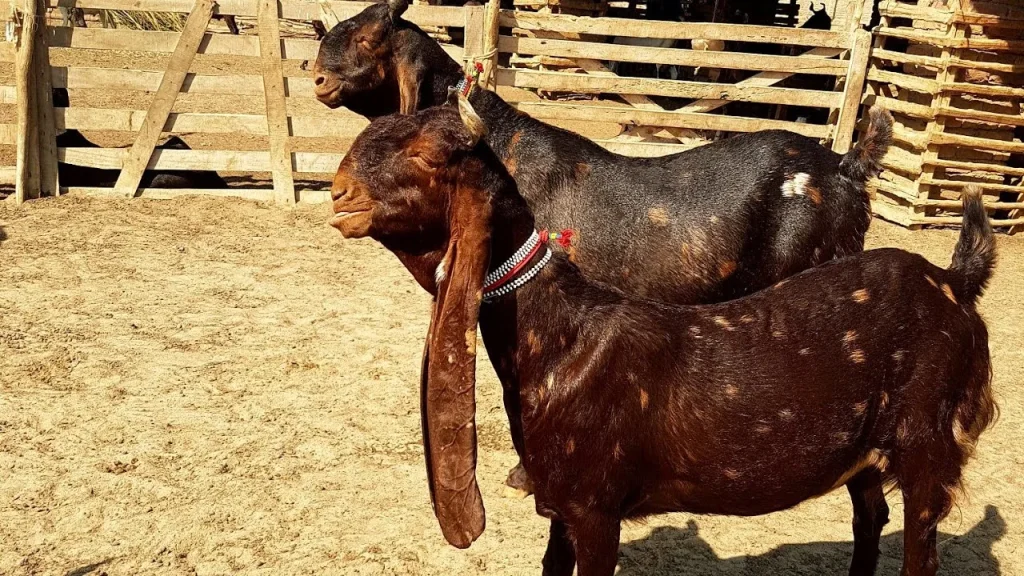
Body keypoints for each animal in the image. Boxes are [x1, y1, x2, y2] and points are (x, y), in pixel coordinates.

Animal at [328, 98, 997, 576]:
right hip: (865, 449)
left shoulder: (597, 507)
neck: (561, 338)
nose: (339, 194)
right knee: (870, 514)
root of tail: (953, 281)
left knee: (919, 546)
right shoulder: (561, 502)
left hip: (928, 444)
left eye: (427, 155)